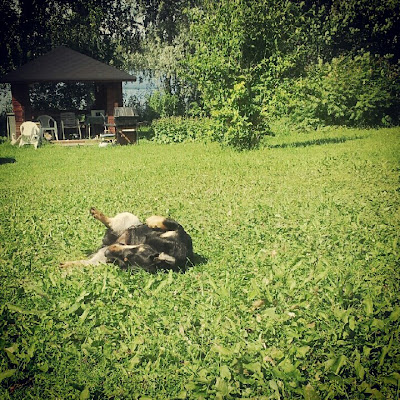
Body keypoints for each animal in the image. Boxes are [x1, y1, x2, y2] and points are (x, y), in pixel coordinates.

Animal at [61, 208, 193, 273]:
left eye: (123, 261)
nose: (108, 254)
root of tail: (106, 243)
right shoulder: (179, 232)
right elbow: (168, 222)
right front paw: (152, 220)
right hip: (129, 218)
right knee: (110, 221)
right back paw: (97, 213)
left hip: (98, 259)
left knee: (85, 263)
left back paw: (66, 264)